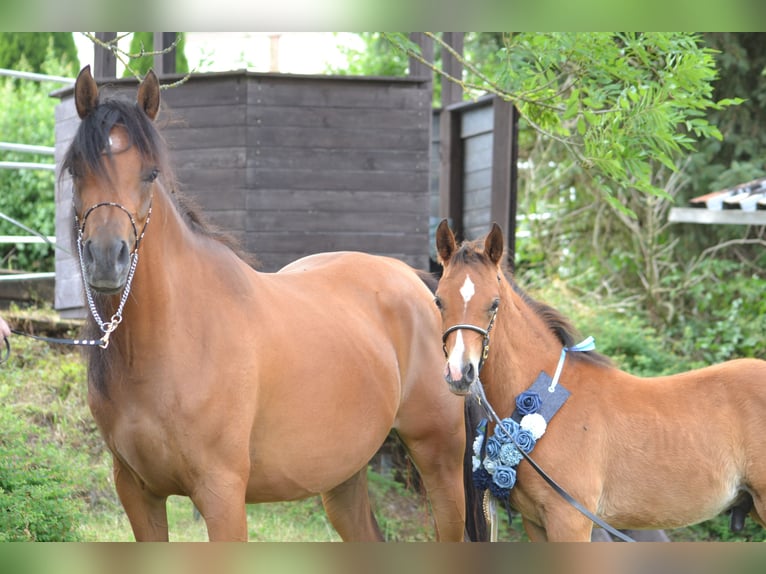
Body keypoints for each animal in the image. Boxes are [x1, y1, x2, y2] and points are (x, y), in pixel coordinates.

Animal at [61, 65, 476, 541]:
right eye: (76, 169)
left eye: (149, 173)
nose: (106, 258)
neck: (176, 335)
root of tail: (417, 283)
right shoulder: (137, 493)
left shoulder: (222, 495)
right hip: (343, 475)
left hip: (439, 459)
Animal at [434, 219, 766, 542]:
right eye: (439, 301)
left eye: (494, 303)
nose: (460, 374)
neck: (549, 396)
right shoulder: (536, 523)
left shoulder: (571, 521)